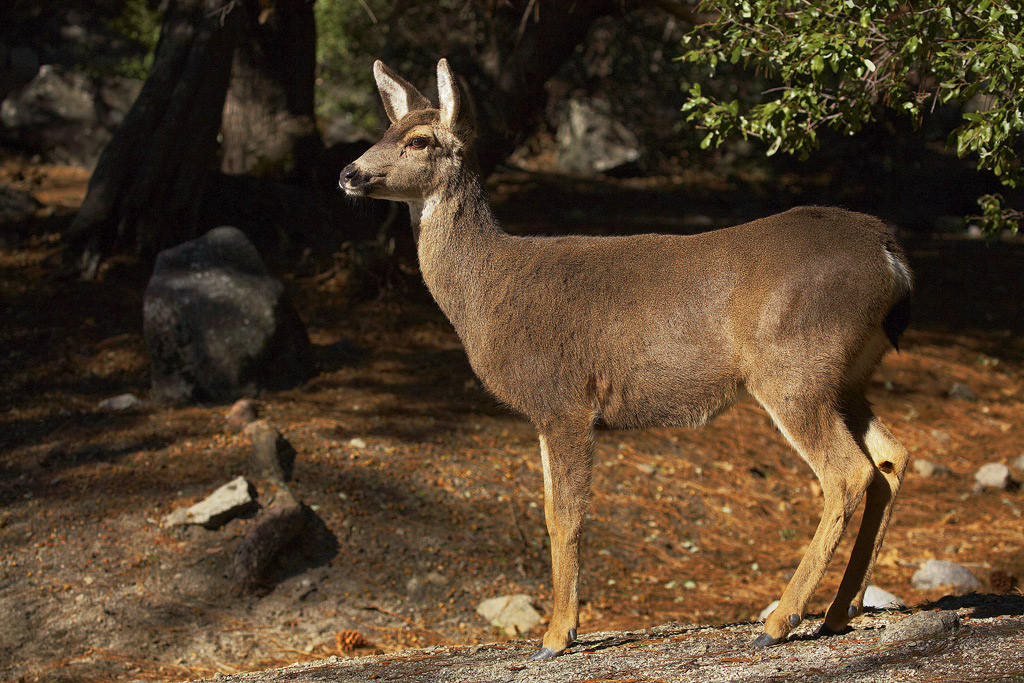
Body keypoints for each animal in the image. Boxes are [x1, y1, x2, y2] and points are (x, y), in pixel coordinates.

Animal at [342, 60, 913, 663]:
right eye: (383, 131)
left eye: (418, 140)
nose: (349, 173)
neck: (489, 290)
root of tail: (890, 255)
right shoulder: (546, 415)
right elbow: (550, 511)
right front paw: (559, 629)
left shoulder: (564, 399)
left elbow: (566, 516)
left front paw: (556, 636)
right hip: (847, 376)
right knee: (889, 458)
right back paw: (837, 613)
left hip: (792, 368)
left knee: (848, 472)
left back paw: (780, 621)